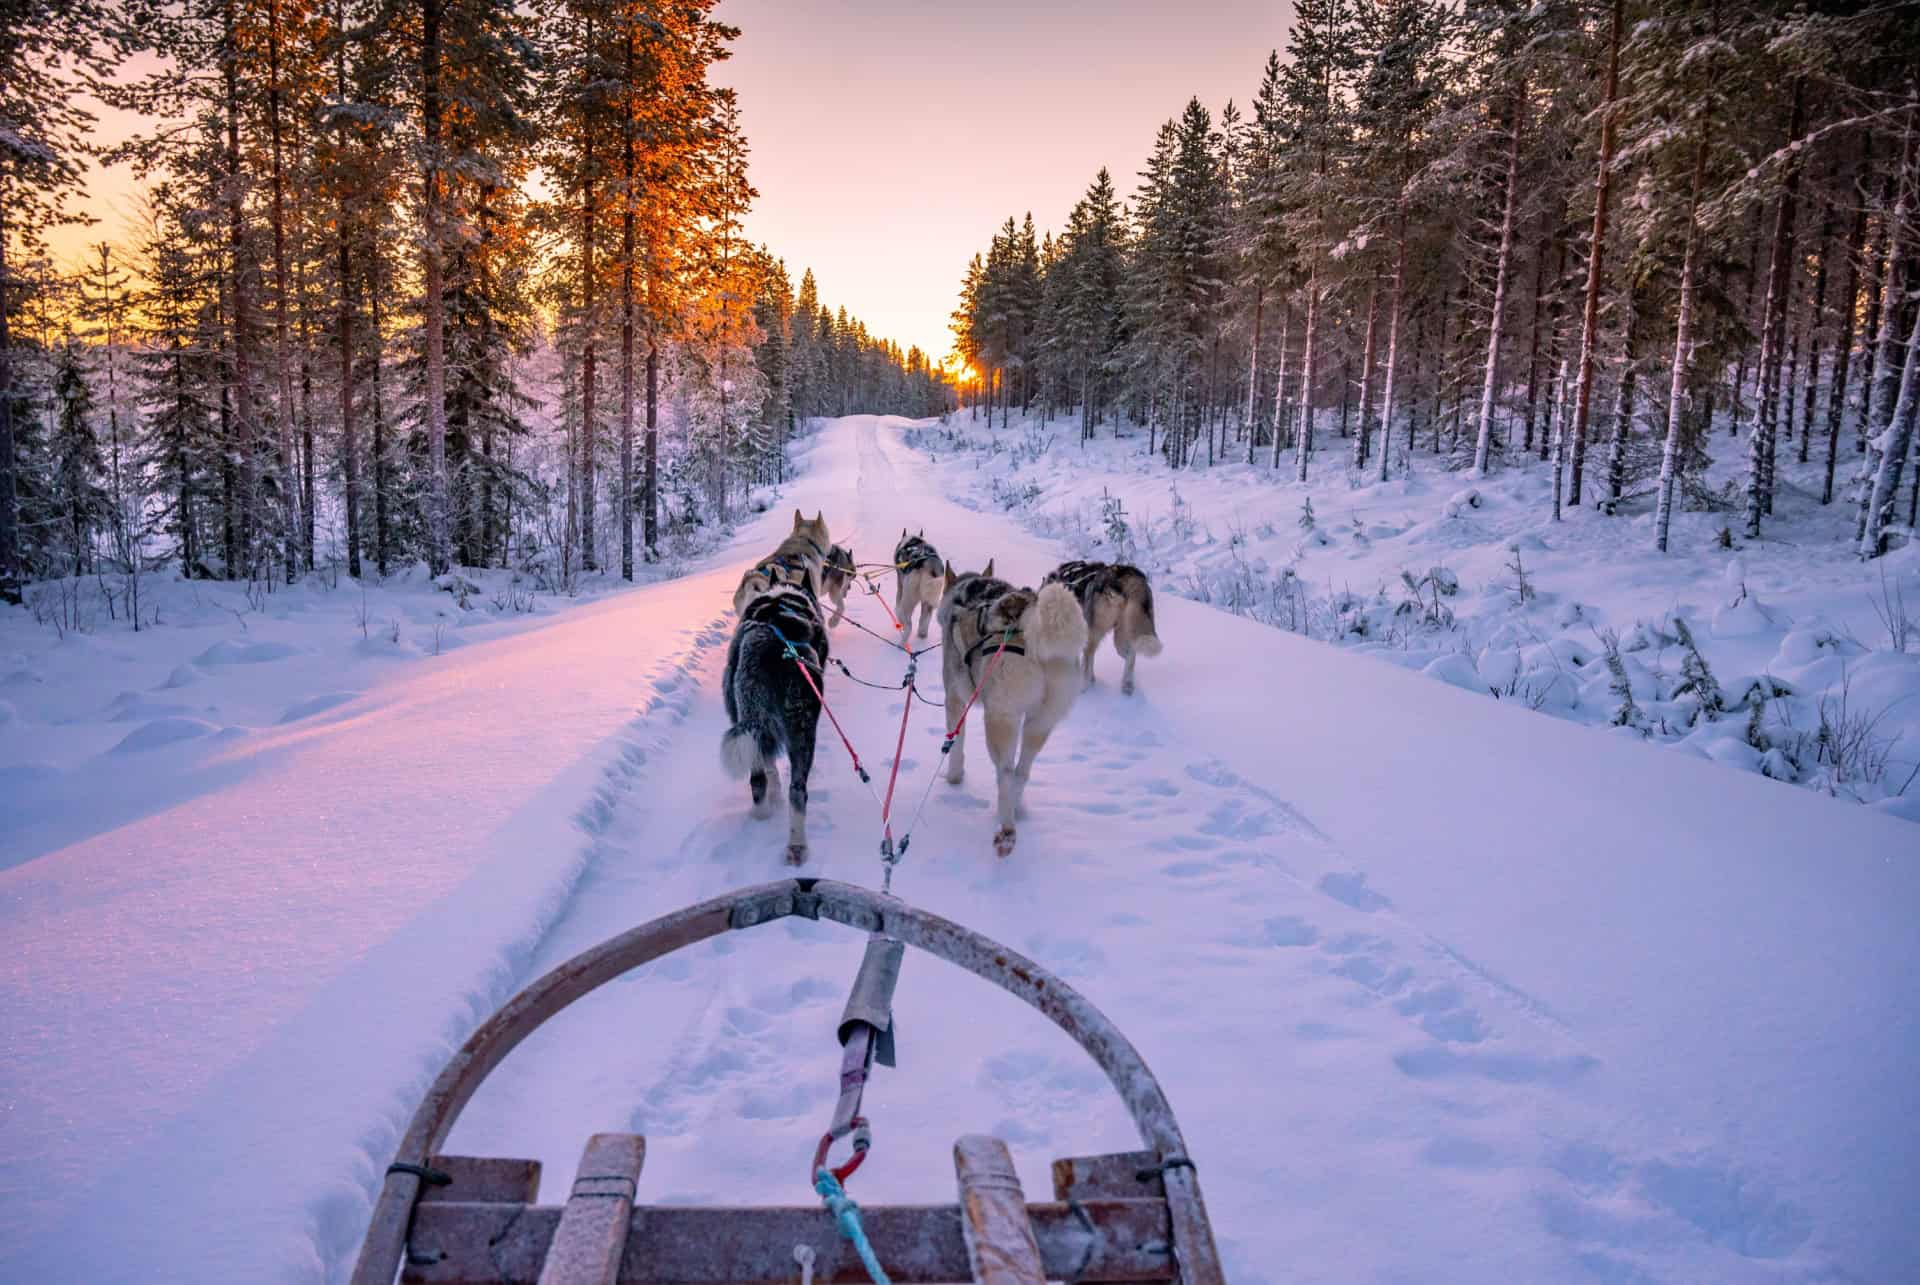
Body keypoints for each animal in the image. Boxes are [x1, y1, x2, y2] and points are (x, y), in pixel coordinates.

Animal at [721, 576, 825, 868]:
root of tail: (772, 647)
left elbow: (769, 768)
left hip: (754, 717)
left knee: (758, 779)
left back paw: (762, 814)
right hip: (801, 729)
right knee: (798, 790)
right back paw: (797, 845)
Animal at [936, 557, 1090, 852]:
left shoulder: (955, 699)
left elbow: (956, 745)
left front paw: (954, 778)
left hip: (1001, 719)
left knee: (1006, 772)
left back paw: (1007, 830)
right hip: (1039, 723)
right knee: (1022, 771)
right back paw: (1013, 810)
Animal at [1044, 557, 1159, 691]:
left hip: (1095, 633)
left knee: (1089, 659)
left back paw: (1083, 686)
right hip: (1121, 634)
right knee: (1131, 655)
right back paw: (1127, 684)